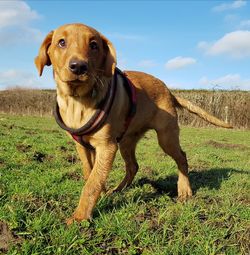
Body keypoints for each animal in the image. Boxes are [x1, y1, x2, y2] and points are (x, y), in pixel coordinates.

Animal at [34, 22, 231, 224]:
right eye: (61, 42)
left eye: (94, 45)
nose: (78, 67)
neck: (78, 102)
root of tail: (170, 92)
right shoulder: (82, 146)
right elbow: (91, 173)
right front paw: (100, 196)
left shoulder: (107, 146)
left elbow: (93, 182)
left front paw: (80, 217)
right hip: (127, 141)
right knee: (133, 166)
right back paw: (117, 190)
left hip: (166, 137)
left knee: (181, 157)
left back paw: (184, 190)